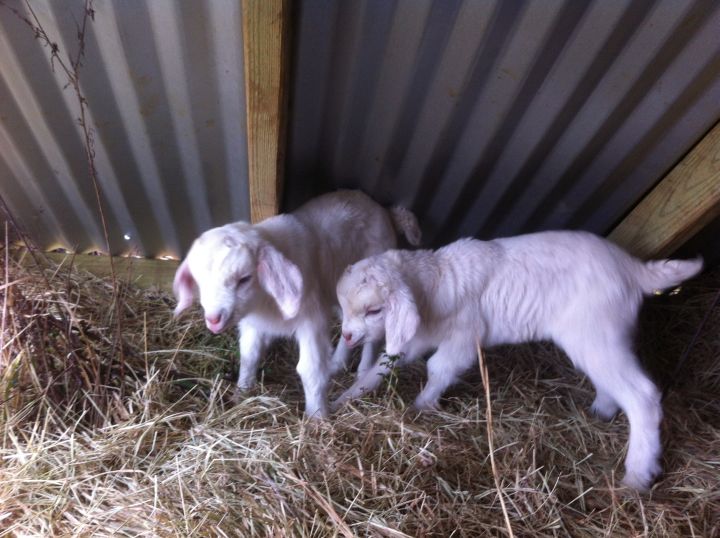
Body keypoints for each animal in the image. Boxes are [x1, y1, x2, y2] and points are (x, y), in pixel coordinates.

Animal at [172, 190, 421, 419]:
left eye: (244, 278)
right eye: (198, 280)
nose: (213, 320)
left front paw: (318, 417)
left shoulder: (311, 320)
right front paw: (241, 392)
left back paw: (362, 370)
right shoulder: (253, 323)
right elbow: (249, 355)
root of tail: (384, 210)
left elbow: (310, 368)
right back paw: (337, 363)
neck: (264, 302)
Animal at [333, 230, 703, 490]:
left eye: (374, 310)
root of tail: (634, 268)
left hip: (595, 333)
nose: (347, 336)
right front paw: (342, 401)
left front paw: (420, 407)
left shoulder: (463, 337)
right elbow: (380, 367)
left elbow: (440, 369)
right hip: (603, 339)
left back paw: (637, 478)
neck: (439, 282)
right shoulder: (414, 337)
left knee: (642, 394)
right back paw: (601, 411)